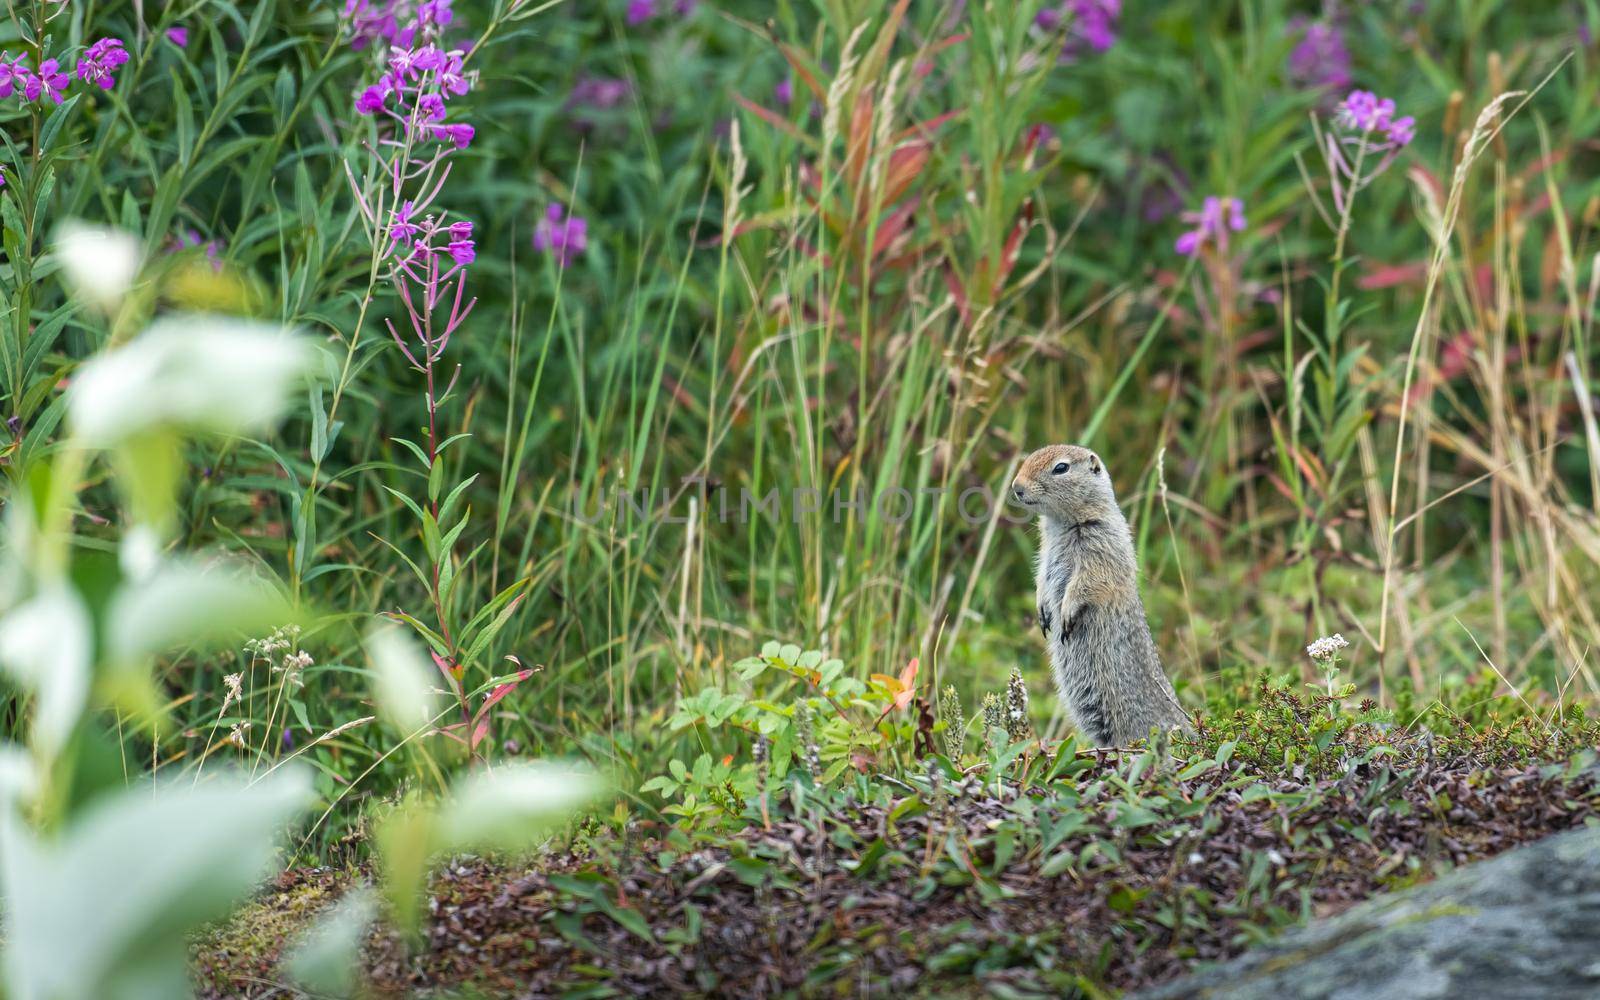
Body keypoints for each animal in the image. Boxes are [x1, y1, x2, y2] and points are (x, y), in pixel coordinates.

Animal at [1011, 441, 1190, 742]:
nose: (1016, 487)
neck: (1062, 522)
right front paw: (1042, 611)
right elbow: (1040, 578)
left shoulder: (1102, 547)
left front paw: (1066, 613)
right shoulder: (1045, 552)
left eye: (1061, 467)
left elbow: (1090, 581)